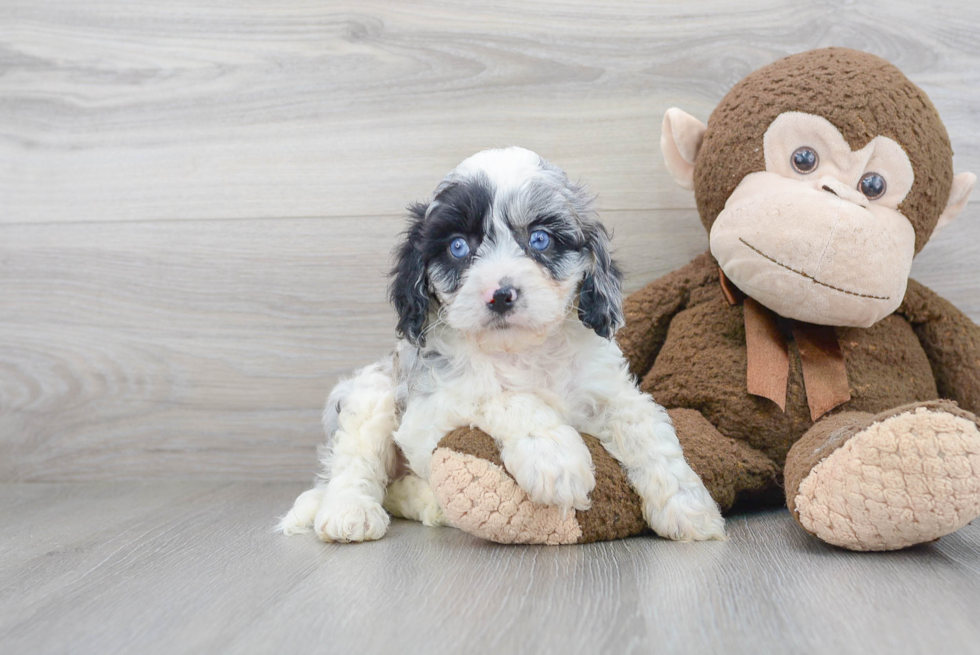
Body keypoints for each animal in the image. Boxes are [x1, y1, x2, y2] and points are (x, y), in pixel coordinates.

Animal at [280, 147, 724, 544]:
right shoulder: (428, 413)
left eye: (540, 239)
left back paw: (431, 506)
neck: (522, 352)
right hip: (371, 393)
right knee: (357, 465)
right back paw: (348, 513)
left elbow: (646, 430)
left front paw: (689, 507)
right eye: (458, 246)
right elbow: (501, 395)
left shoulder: (609, 391)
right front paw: (555, 455)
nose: (501, 294)